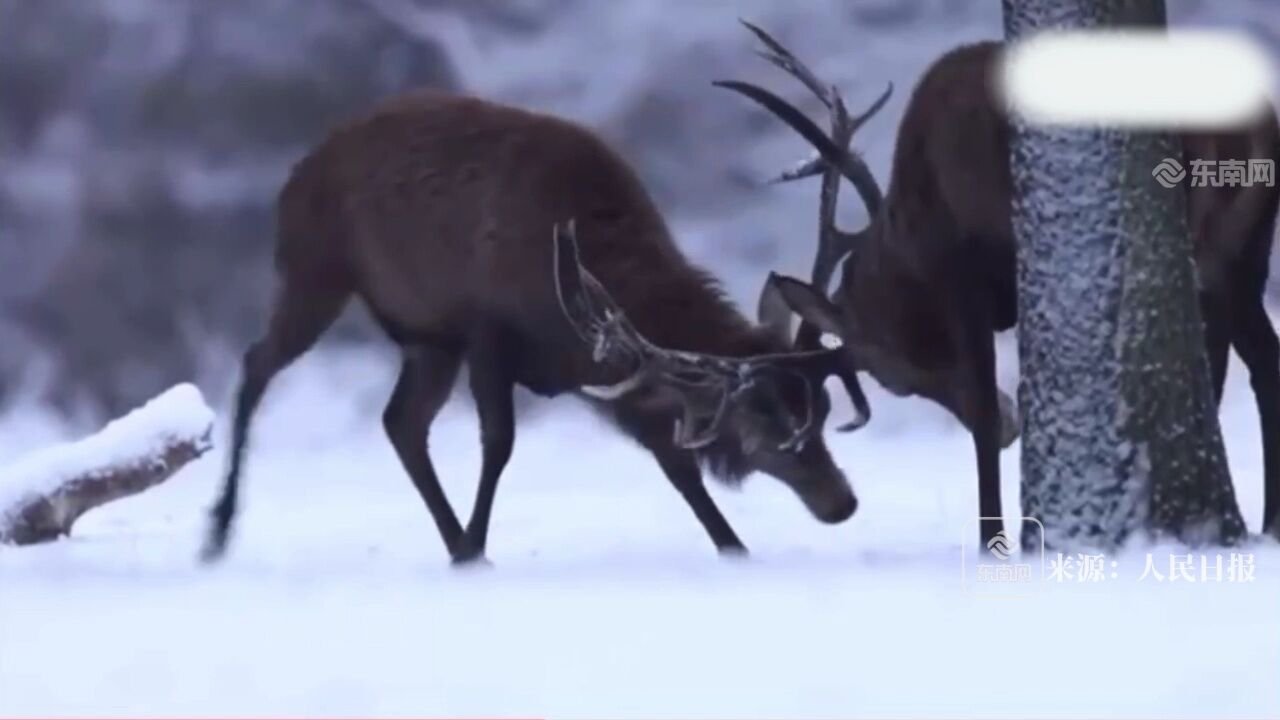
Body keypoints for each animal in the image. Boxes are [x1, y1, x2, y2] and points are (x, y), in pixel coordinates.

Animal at [199, 89, 865, 563]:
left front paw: (733, 546)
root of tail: (297, 170)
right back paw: (218, 529)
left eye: (821, 408)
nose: (842, 501)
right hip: (316, 268)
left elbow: (677, 466)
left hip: (427, 337)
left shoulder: (609, 378)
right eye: (763, 417)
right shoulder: (487, 332)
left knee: (400, 422)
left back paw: (450, 543)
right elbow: (500, 444)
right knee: (257, 363)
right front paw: (477, 541)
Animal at [721, 23, 1280, 543]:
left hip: (1210, 240)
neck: (910, 245)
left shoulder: (965, 282)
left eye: (891, 377)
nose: (1017, 428)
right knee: (1240, 357)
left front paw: (993, 542)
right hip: (1248, 246)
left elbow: (983, 415)